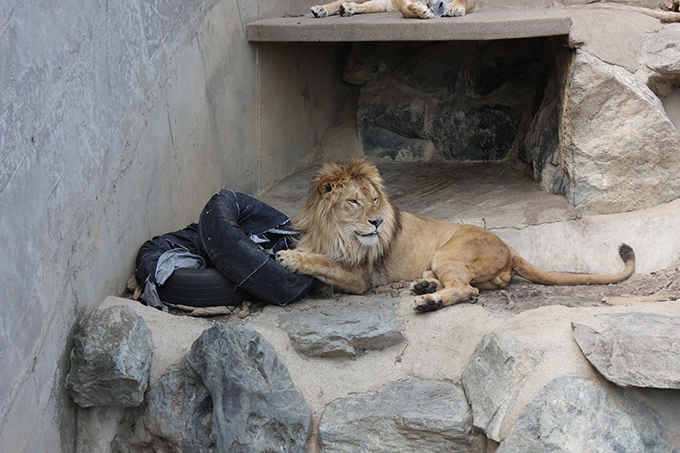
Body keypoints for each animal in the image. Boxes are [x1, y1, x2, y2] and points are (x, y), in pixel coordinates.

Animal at [274, 158, 636, 310]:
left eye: (375, 199)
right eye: (354, 201)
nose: (376, 222)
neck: (335, 231)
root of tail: (510, 248)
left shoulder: (361, 277)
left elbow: (324, 263)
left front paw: (290, 258)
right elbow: (321, 257)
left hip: (447, 253)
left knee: (465, 289)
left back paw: (428, 300)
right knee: (464, 286)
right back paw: (425, 286)